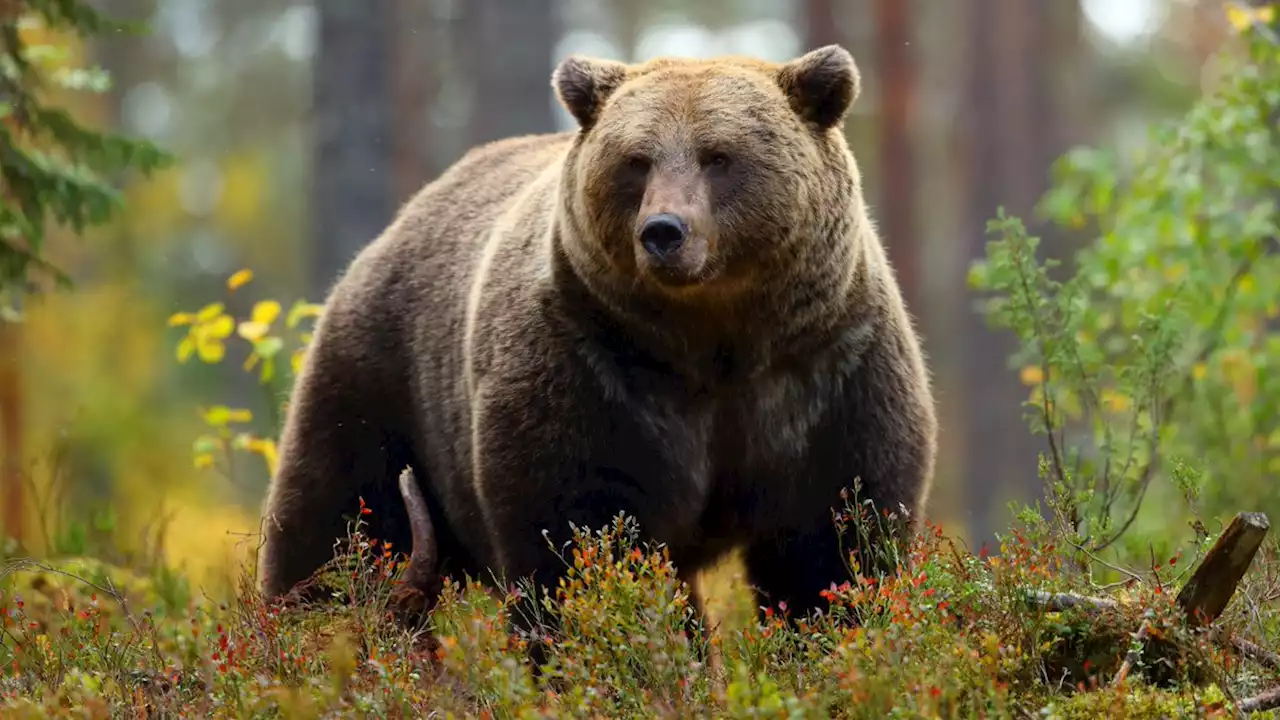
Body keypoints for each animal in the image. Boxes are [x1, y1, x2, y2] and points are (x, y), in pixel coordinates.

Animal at [257, 44, 942, 635]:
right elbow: (581, 538)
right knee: (340, 524)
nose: (663, 231)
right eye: (636, 160)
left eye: (718, 156)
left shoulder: (826, 371)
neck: (717, 341)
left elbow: (833, 544)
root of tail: (399, 223)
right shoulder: (593, 369)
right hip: (382, 380)